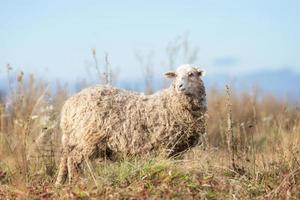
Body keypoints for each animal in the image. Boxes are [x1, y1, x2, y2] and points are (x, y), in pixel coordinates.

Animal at [55, 64, 206, 184]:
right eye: (176, 76)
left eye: (191, 74)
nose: (180, 86)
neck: (171, 104)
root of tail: (69, 105)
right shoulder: (165, 145)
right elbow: (167, 166)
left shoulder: (177, 150)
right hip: (87, 138)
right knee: (73, 159)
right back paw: (76, 182)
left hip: (73, 138)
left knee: (65, 158)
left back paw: (60, 183)